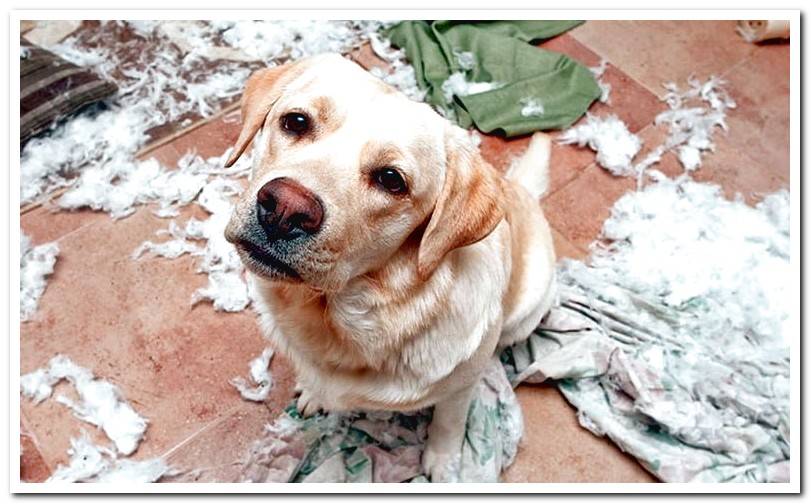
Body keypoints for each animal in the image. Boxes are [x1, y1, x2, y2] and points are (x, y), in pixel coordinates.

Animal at [225, 53, 560, 482]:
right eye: (296, 122)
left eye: (391, 179)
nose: (285, 209)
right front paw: (315, 392)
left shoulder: (460, 387)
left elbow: (449, 422)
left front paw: (443, 462)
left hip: (526, 307)